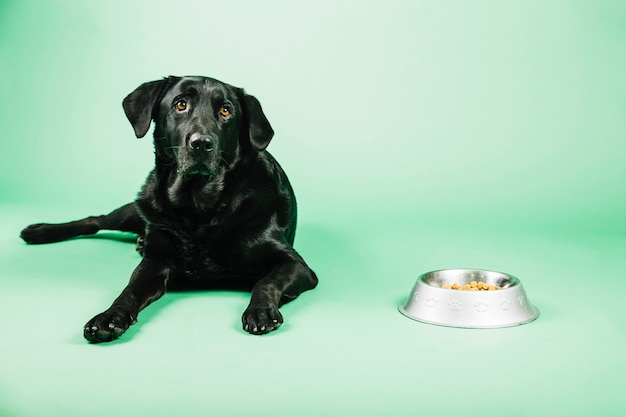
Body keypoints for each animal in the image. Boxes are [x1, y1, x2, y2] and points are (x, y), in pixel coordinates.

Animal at [19, 76, 316, 342]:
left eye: (226, 110)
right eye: (180, 104)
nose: (201, 143)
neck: (200, 208)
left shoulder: (296, 265)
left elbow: (265, 282)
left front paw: (260, 310)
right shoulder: (156, 262)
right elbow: (130, 289)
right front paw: (109, 317)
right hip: (138, 209)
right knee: (96, 220)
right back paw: (39, 231)